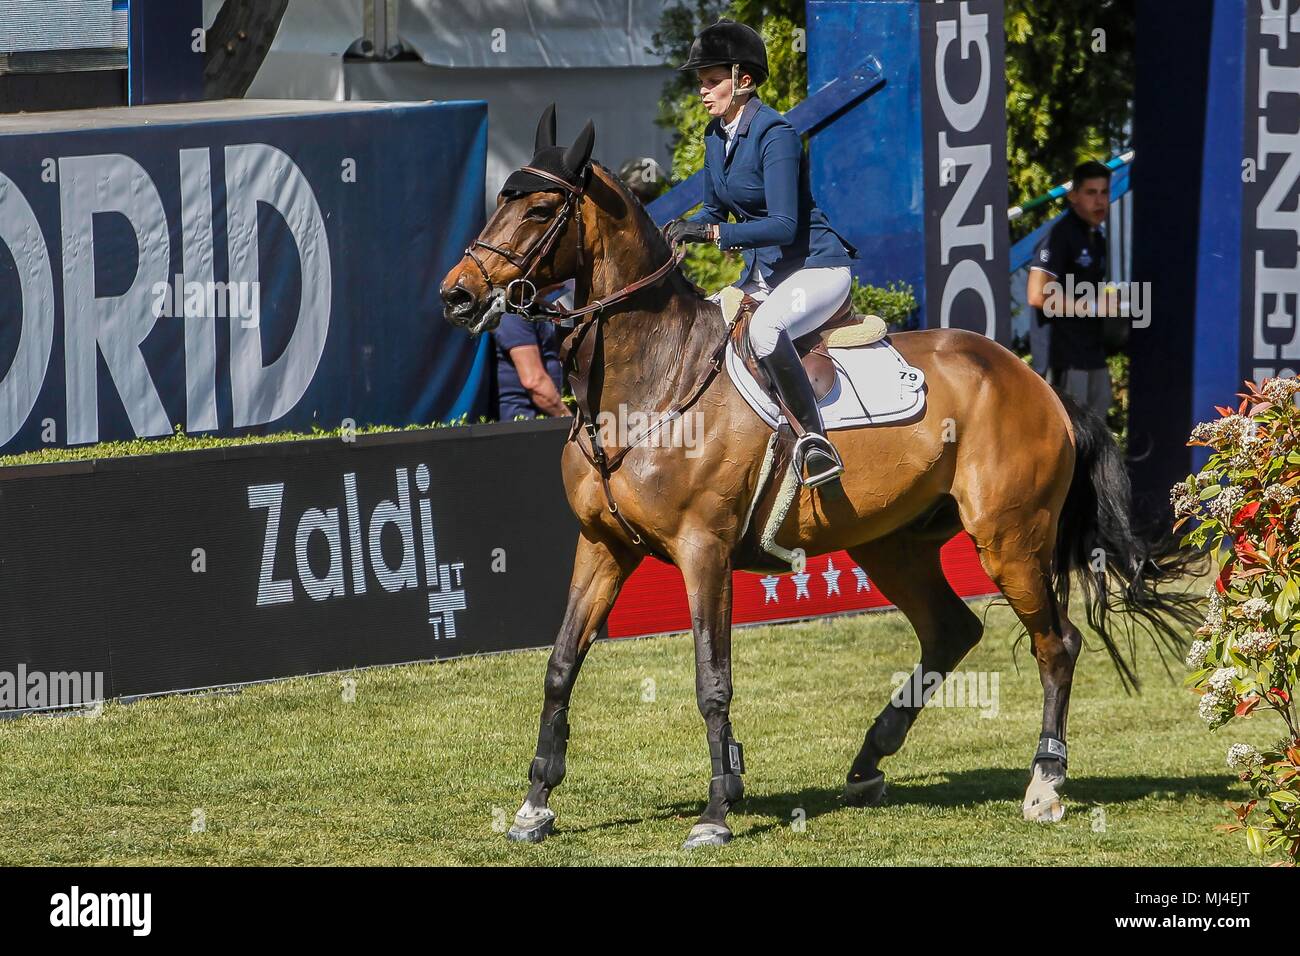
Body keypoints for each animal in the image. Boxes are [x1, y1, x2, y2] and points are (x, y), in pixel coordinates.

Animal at [439, 108, 1196, 848]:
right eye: (500, 200)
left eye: (540, 209)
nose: (457, 296)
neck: (651, 380)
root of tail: (1035, 382)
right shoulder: (603, 545)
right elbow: (561, 665)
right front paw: (534, 806)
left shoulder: (704, 550)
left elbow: (711, 680)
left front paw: (716, 812)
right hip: (893, 543)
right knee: (951, 631)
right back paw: (868, 762)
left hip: (1009, 539)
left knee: (1055, 644)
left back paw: (1044, 784)